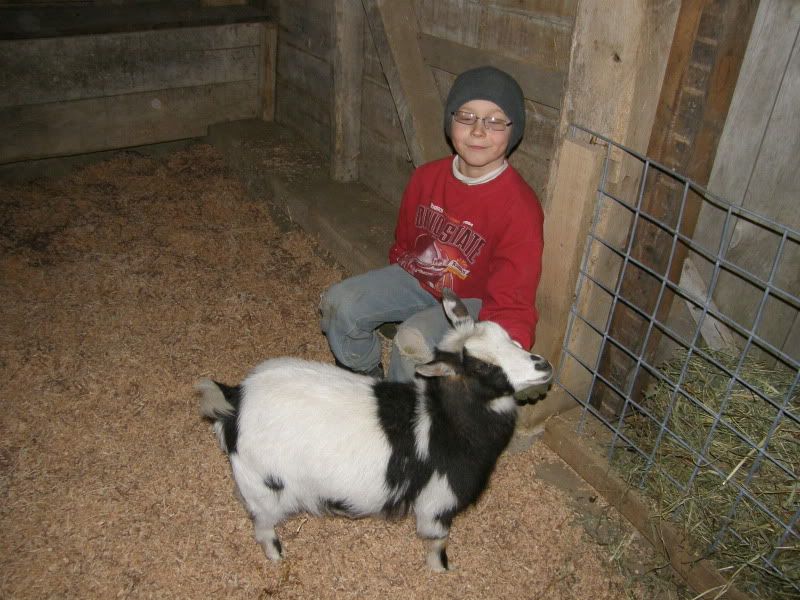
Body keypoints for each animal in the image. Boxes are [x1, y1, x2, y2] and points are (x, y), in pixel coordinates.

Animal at [196, 289, 552, 571]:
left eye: (509, 336)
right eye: (482, 367)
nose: (544, 366)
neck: (447, 422)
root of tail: (235, 400)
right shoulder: (437, 502)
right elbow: (438, 540)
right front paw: (440, 569)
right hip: (265, 486)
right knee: (262, 524)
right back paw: (275, 554)